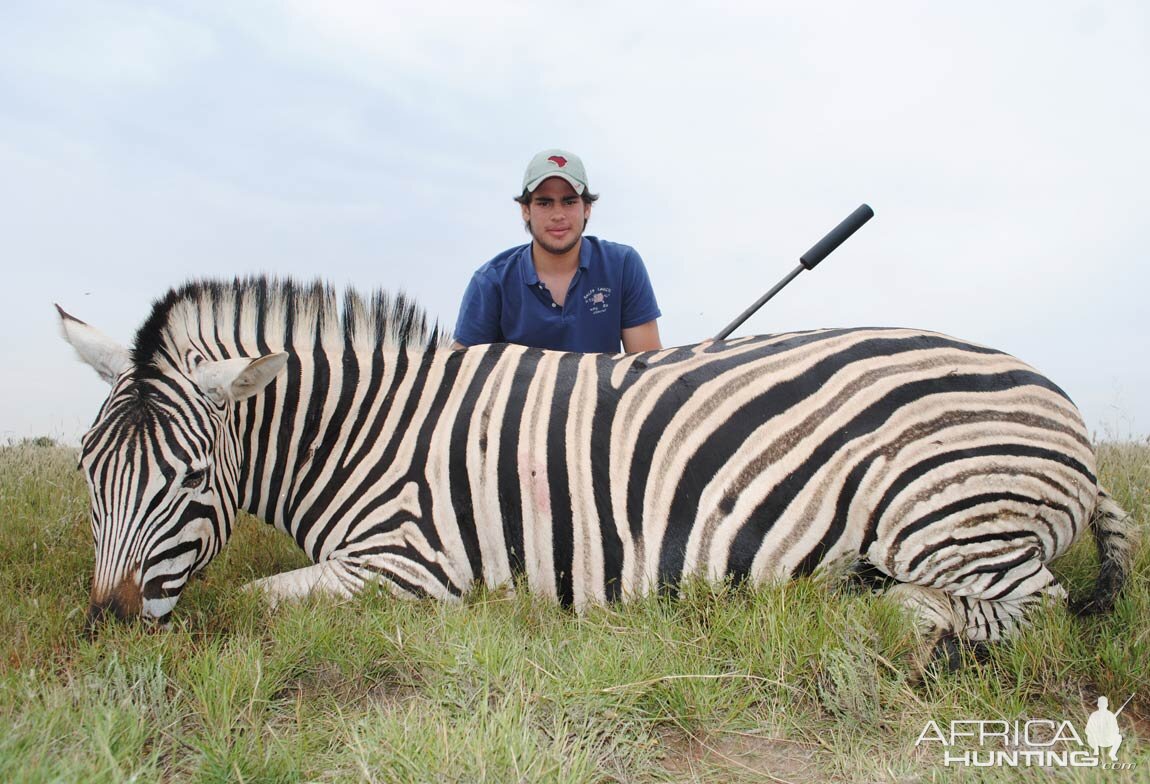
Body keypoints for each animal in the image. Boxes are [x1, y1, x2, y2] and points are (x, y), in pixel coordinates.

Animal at [58, 275, 1136, 652]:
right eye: (85, 471)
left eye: (189, 482)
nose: (103, 625)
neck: (368, 433)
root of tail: (1065, 410)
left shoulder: (408, 570)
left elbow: (249, 601)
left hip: (942, 515)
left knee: (1025, 603)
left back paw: (894, 622)